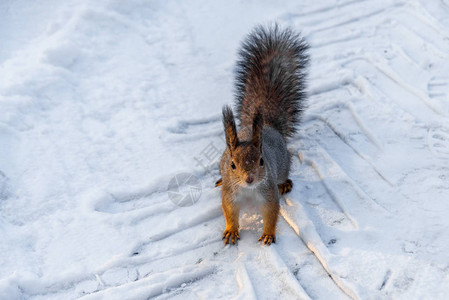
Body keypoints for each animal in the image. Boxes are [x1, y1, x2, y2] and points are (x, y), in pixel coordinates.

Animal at [214, 24, 306, 245]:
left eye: (261, 161)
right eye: (233, 165)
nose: (249, 178)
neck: (248, 190)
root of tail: (269, 127)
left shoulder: (268, 194)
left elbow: (271, 213)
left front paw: (268, 234)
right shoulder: (230, 196)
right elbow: (230, 213)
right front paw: (231, 231)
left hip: (283, 165)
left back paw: (286, 184)